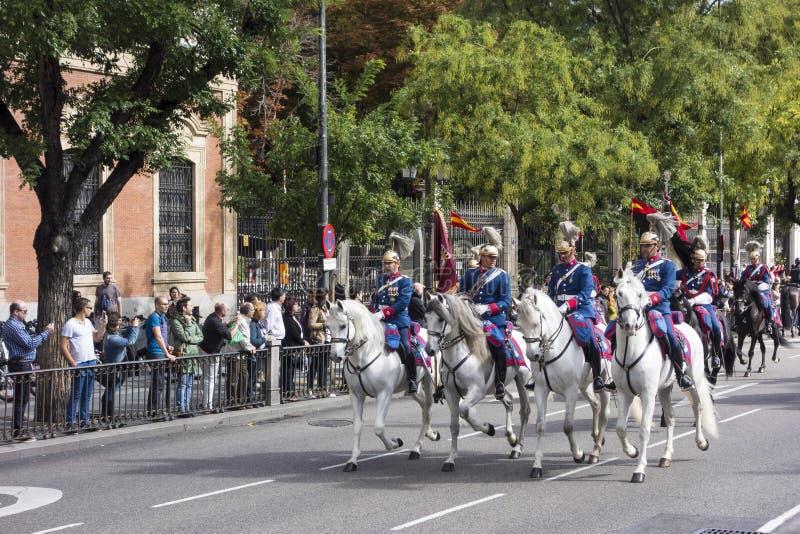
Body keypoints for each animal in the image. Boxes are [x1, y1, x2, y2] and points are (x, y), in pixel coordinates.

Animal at [324, 302, 440, 474]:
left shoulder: (384, 393)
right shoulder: (356, 395)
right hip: (414, 388)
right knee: (425, 407)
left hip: (429, 381)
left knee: (428, 410)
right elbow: (357, 426)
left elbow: (378, 427)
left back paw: (417, 448)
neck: (365, 353)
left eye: (343, 325)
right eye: (327, 326)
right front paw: (352, 460)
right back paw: (429, 434)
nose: (335, 356)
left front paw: (394, 443)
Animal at [424, 294, 532, 474]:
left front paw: (488, 428)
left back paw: (517, 447)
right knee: (509, 401)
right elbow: (455, 425)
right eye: (426, 318)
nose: (429, 350)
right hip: (497, 387)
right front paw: (450, 459)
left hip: (522, 380)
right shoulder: (451, 394)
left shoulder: (476, 391)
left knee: (524, 411)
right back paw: (511, 437)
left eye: (440, 318)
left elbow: (465, 411)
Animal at [516, 288, 608, 482]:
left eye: (536, 323)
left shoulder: (570, 391)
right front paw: (537, 466)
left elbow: (568, 426)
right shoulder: (541, 389)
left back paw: (595, 452)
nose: (533, 355)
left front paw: (578, 454)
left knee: (605, 413)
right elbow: (540, 426)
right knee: (596, 406)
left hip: (603, 385)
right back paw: (596, 437)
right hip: (584, 385)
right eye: (518, 324)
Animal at [612, 270, 720, 484]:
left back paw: (701, 441)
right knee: (670, 418)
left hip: (693, 381)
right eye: (618, 294)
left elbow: (644, 430)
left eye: (640, 294)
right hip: (664, 389)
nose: (629, 325)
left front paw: (639, 470)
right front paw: (631, 451)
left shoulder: (647, 393)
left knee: (698, 407)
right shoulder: (624, 393)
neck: (630, 350)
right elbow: (620, 428)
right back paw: (666, 456)